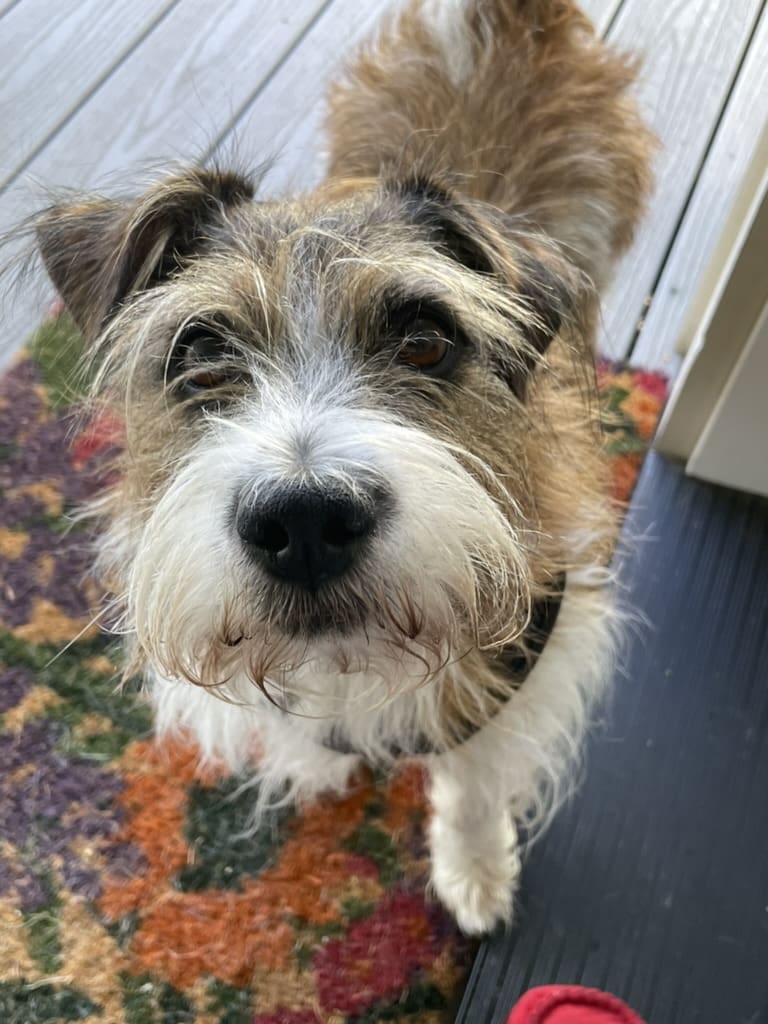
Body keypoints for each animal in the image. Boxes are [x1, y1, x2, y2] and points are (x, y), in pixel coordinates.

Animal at [31, 0, 655, 933]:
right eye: (201, 351)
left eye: (427, 338)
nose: (305, 522)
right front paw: (320, 765)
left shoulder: (527, 661)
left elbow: (472, 787)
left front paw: (474, 870)